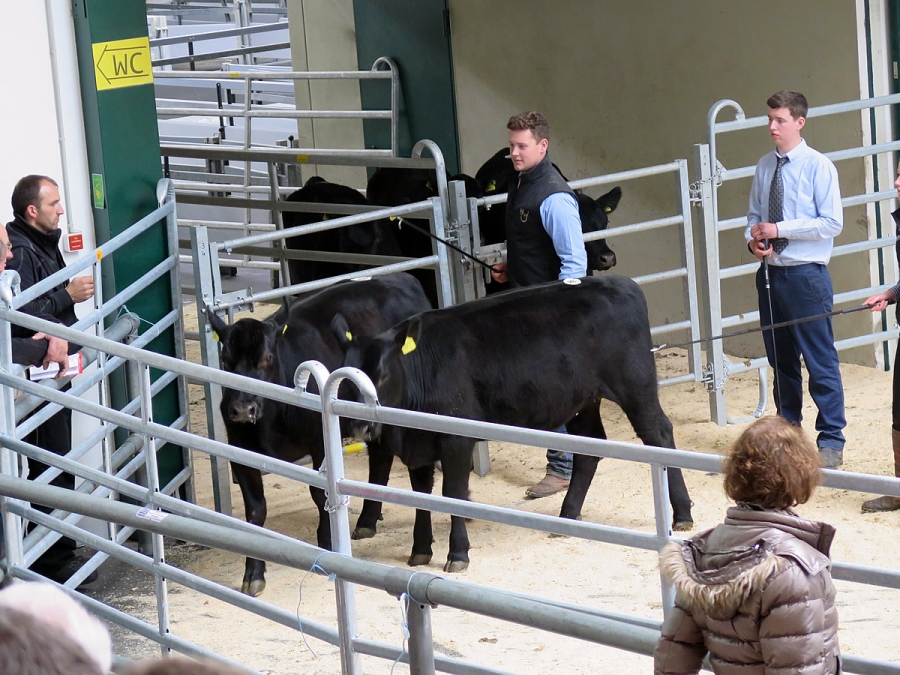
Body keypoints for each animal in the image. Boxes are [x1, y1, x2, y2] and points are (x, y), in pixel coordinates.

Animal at [206, 272, 430, 596]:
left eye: (267, 357)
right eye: (225, 360)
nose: (242, 408)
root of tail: (397, 277)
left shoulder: (320, 443)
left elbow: (318, 492)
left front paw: (328, 540)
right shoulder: (240, 451)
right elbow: (255, 512)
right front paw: (253, 572)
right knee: (380, 457)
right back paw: (368, 519)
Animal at [334, 278, 692, 572]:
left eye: (381, 375)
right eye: (345, 376)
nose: (357, 426)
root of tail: (621, 282)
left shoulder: (456, 438)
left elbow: (453, 494)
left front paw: (457, 554)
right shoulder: (419, 443)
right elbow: (422, 495)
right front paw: (420, 550)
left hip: (635, 384)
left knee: (659, 434)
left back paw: (683, 515)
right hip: (582, 401)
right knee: (590, 448)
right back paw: (568, 515)